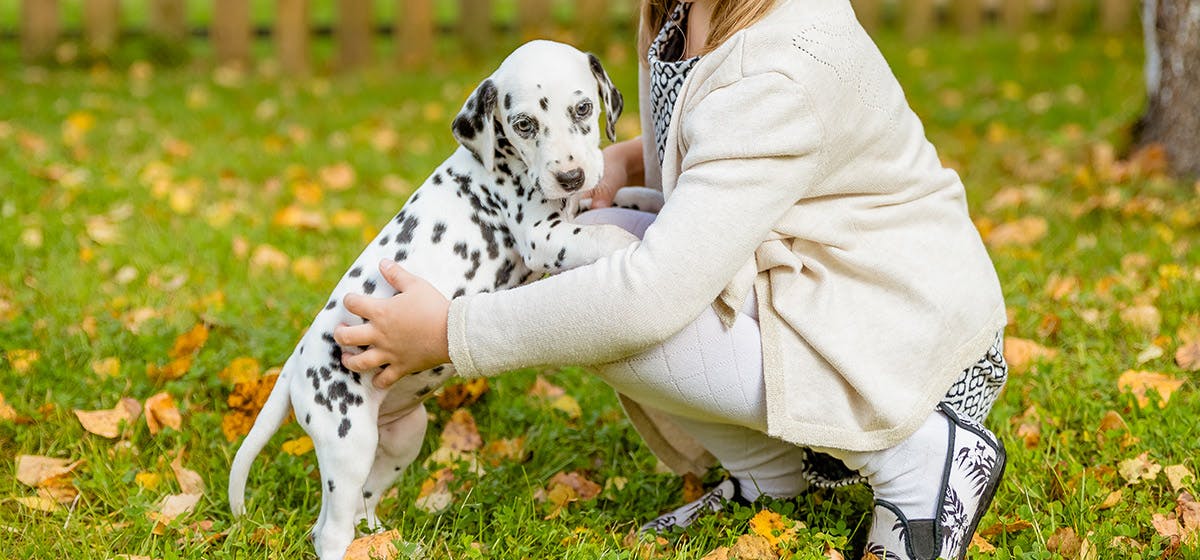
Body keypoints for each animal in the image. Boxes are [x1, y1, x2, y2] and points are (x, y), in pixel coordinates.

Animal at [229, 40, 662, 560]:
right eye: (524, 124)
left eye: (582, 108)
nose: (572, 176)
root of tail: (296, 361)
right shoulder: (544, 237)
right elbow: (607, 236)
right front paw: (635, 244)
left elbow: (623, 195)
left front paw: (647, 198)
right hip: (347, 440)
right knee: (329, 530)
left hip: (402, 436)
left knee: (364, 504)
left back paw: (391, 543)